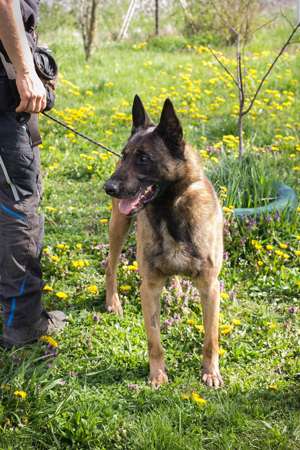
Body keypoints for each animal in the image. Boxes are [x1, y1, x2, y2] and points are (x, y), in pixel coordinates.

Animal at [103, 95, 223, 386]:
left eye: (144, 158)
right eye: (124, 156)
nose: (108, 187)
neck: (171, 210)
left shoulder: (210, 287)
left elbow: (211, 338)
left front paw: (210, 372)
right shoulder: (149, 288)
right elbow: (154, 340)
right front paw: (157, 375)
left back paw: (179, 293)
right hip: (119, 226)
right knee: (110, 265)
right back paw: (113, 302)